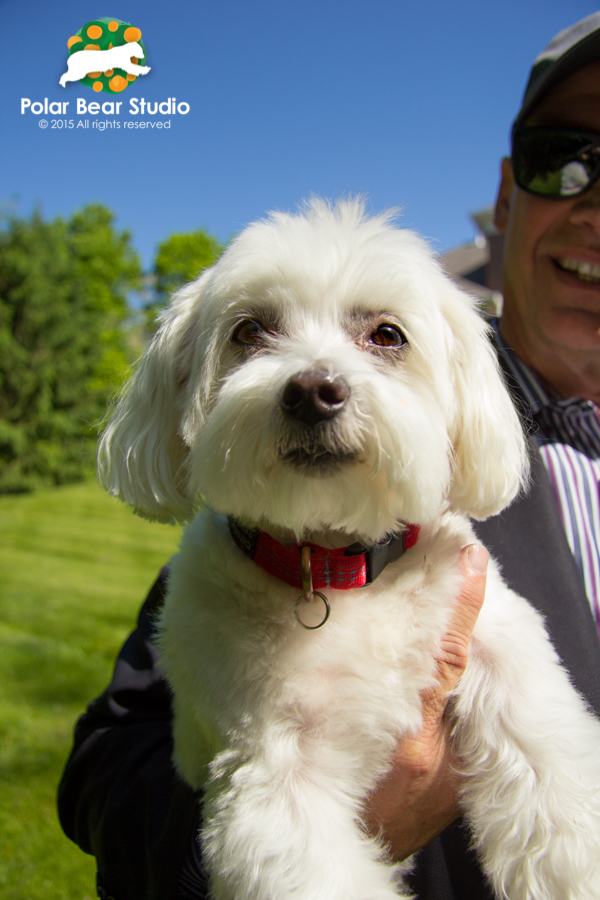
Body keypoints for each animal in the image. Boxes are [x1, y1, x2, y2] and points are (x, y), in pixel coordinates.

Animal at [101, 200, 600, 896]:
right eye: (249, 330)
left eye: (387, 335)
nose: (312, 391)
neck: (343, 566)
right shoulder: (275, 774)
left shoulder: (503, 647)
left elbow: (548, 765)